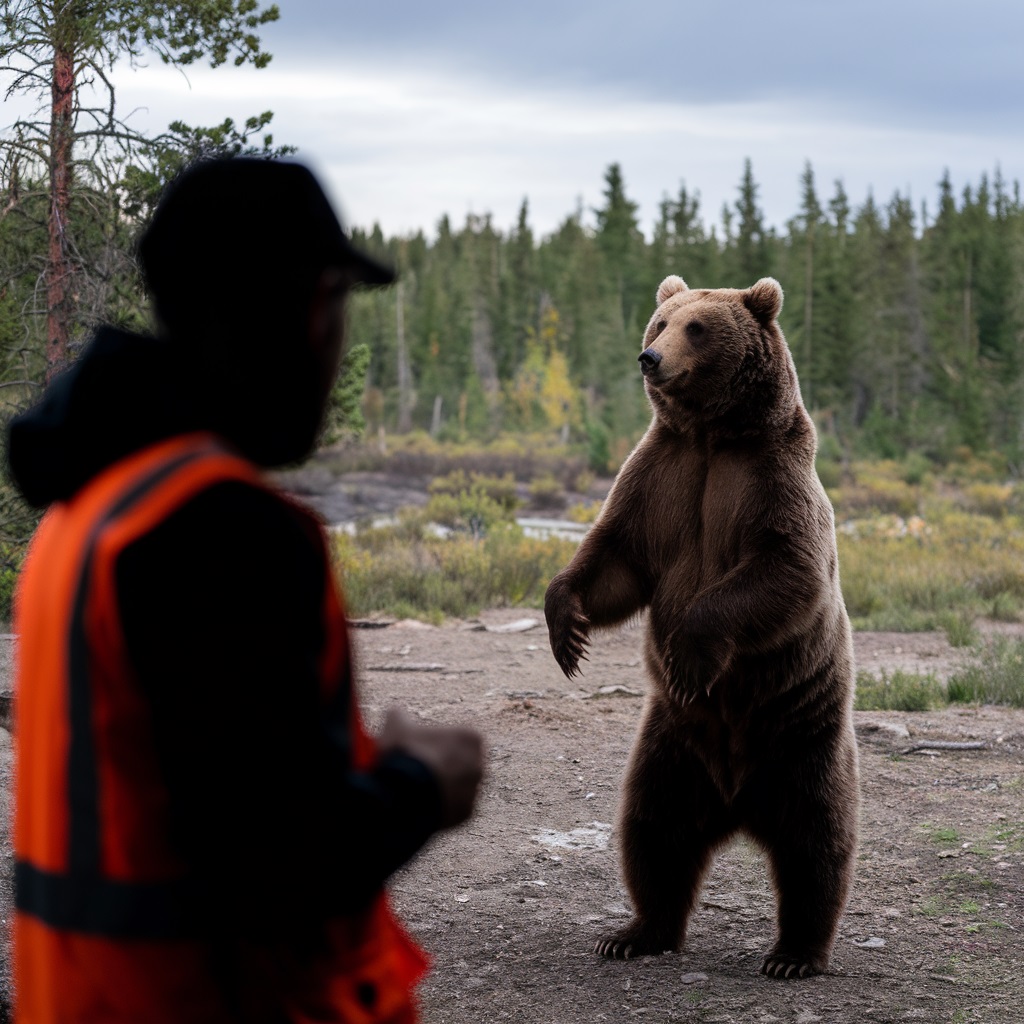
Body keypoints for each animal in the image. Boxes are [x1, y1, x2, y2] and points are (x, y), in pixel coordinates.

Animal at [548, 276, 860, 978]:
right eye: (660, 321)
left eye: (697, 328)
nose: (650, 359)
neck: (712, 434)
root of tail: (738, 802)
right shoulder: (661, 475)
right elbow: (615, 560)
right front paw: (567, 630)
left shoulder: (769, 480)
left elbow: (784, 569)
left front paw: (691, 653)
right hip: (672, 746)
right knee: (652, 829)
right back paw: (635, 931)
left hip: (800, 731)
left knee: (816, 838)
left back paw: (795, 952)